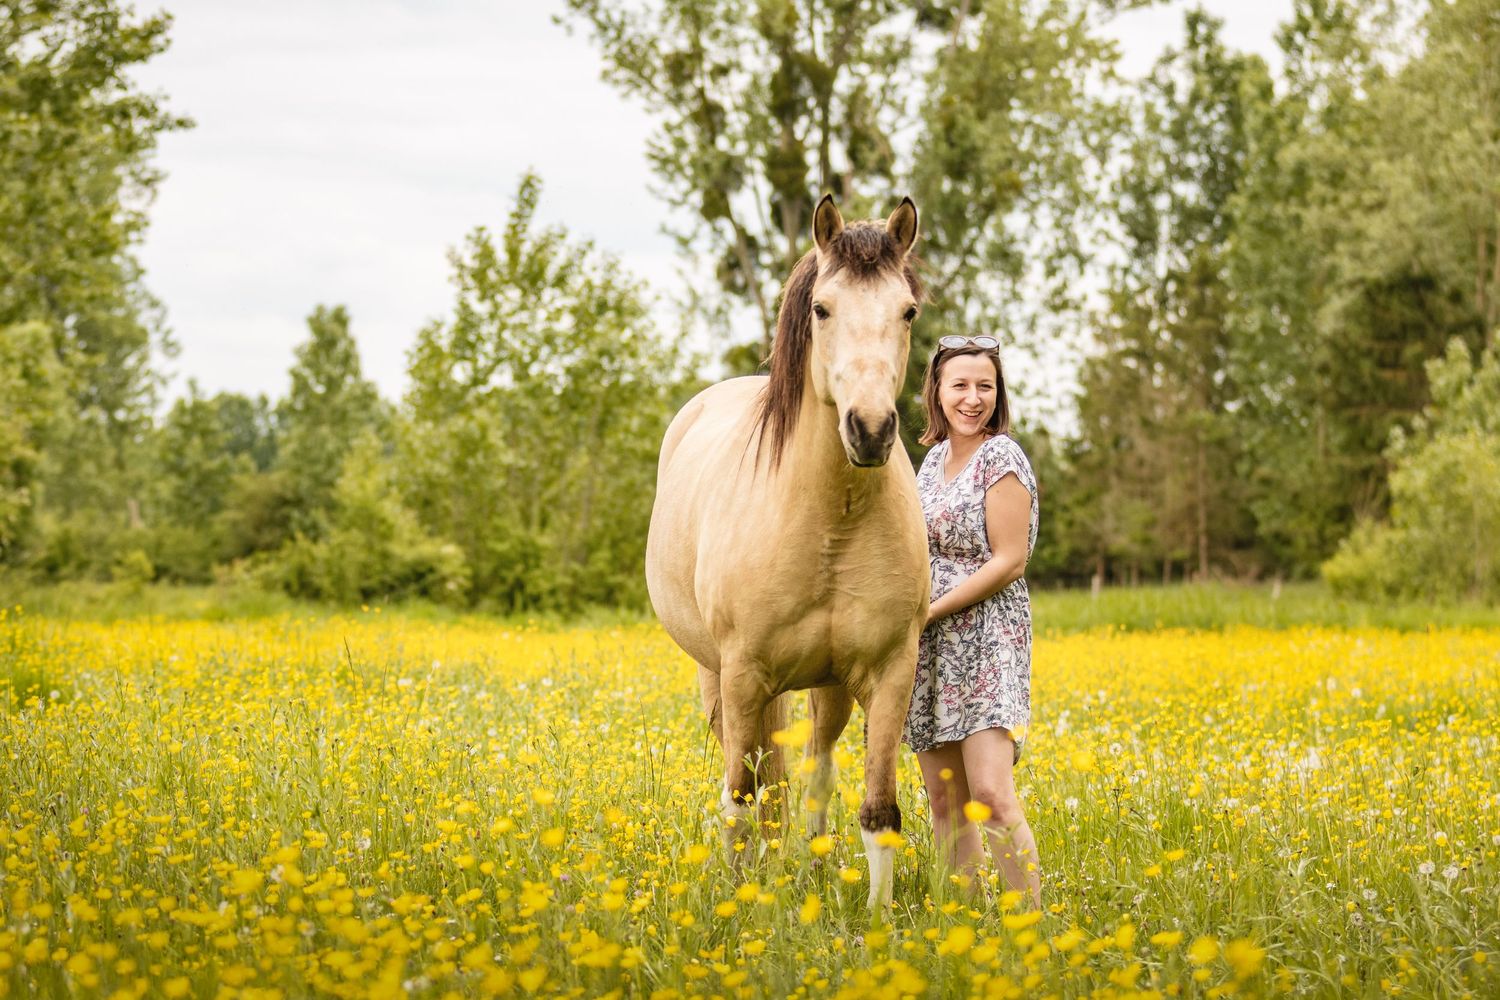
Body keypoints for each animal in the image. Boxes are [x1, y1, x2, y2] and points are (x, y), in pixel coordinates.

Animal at [645, 195, 929, 908]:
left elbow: (878, 810)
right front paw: (742, 906)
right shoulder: (744, 674)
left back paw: (812, 870)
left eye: (908, 311)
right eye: (822, 309)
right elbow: (743, 799)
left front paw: (878, 922)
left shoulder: (889, 672)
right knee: (748, 782)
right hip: (717, 680)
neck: (830, 520)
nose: (871, 429)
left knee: (814, 771)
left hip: (829, 688)